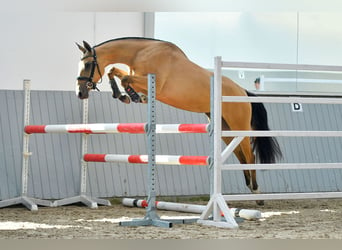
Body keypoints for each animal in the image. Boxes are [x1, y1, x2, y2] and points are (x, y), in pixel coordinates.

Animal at [76, 37, 282, 205]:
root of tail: (242, 91)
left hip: (239, 127)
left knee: (250, 156)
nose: (80, 93)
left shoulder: (154, 83)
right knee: (240, 156)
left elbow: (125, 78)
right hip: (225, 129)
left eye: (88, 65)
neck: (141, 53)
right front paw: (124, 95)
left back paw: (257, 193)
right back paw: (249, 188)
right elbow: (114, 71)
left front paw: (130, 96)